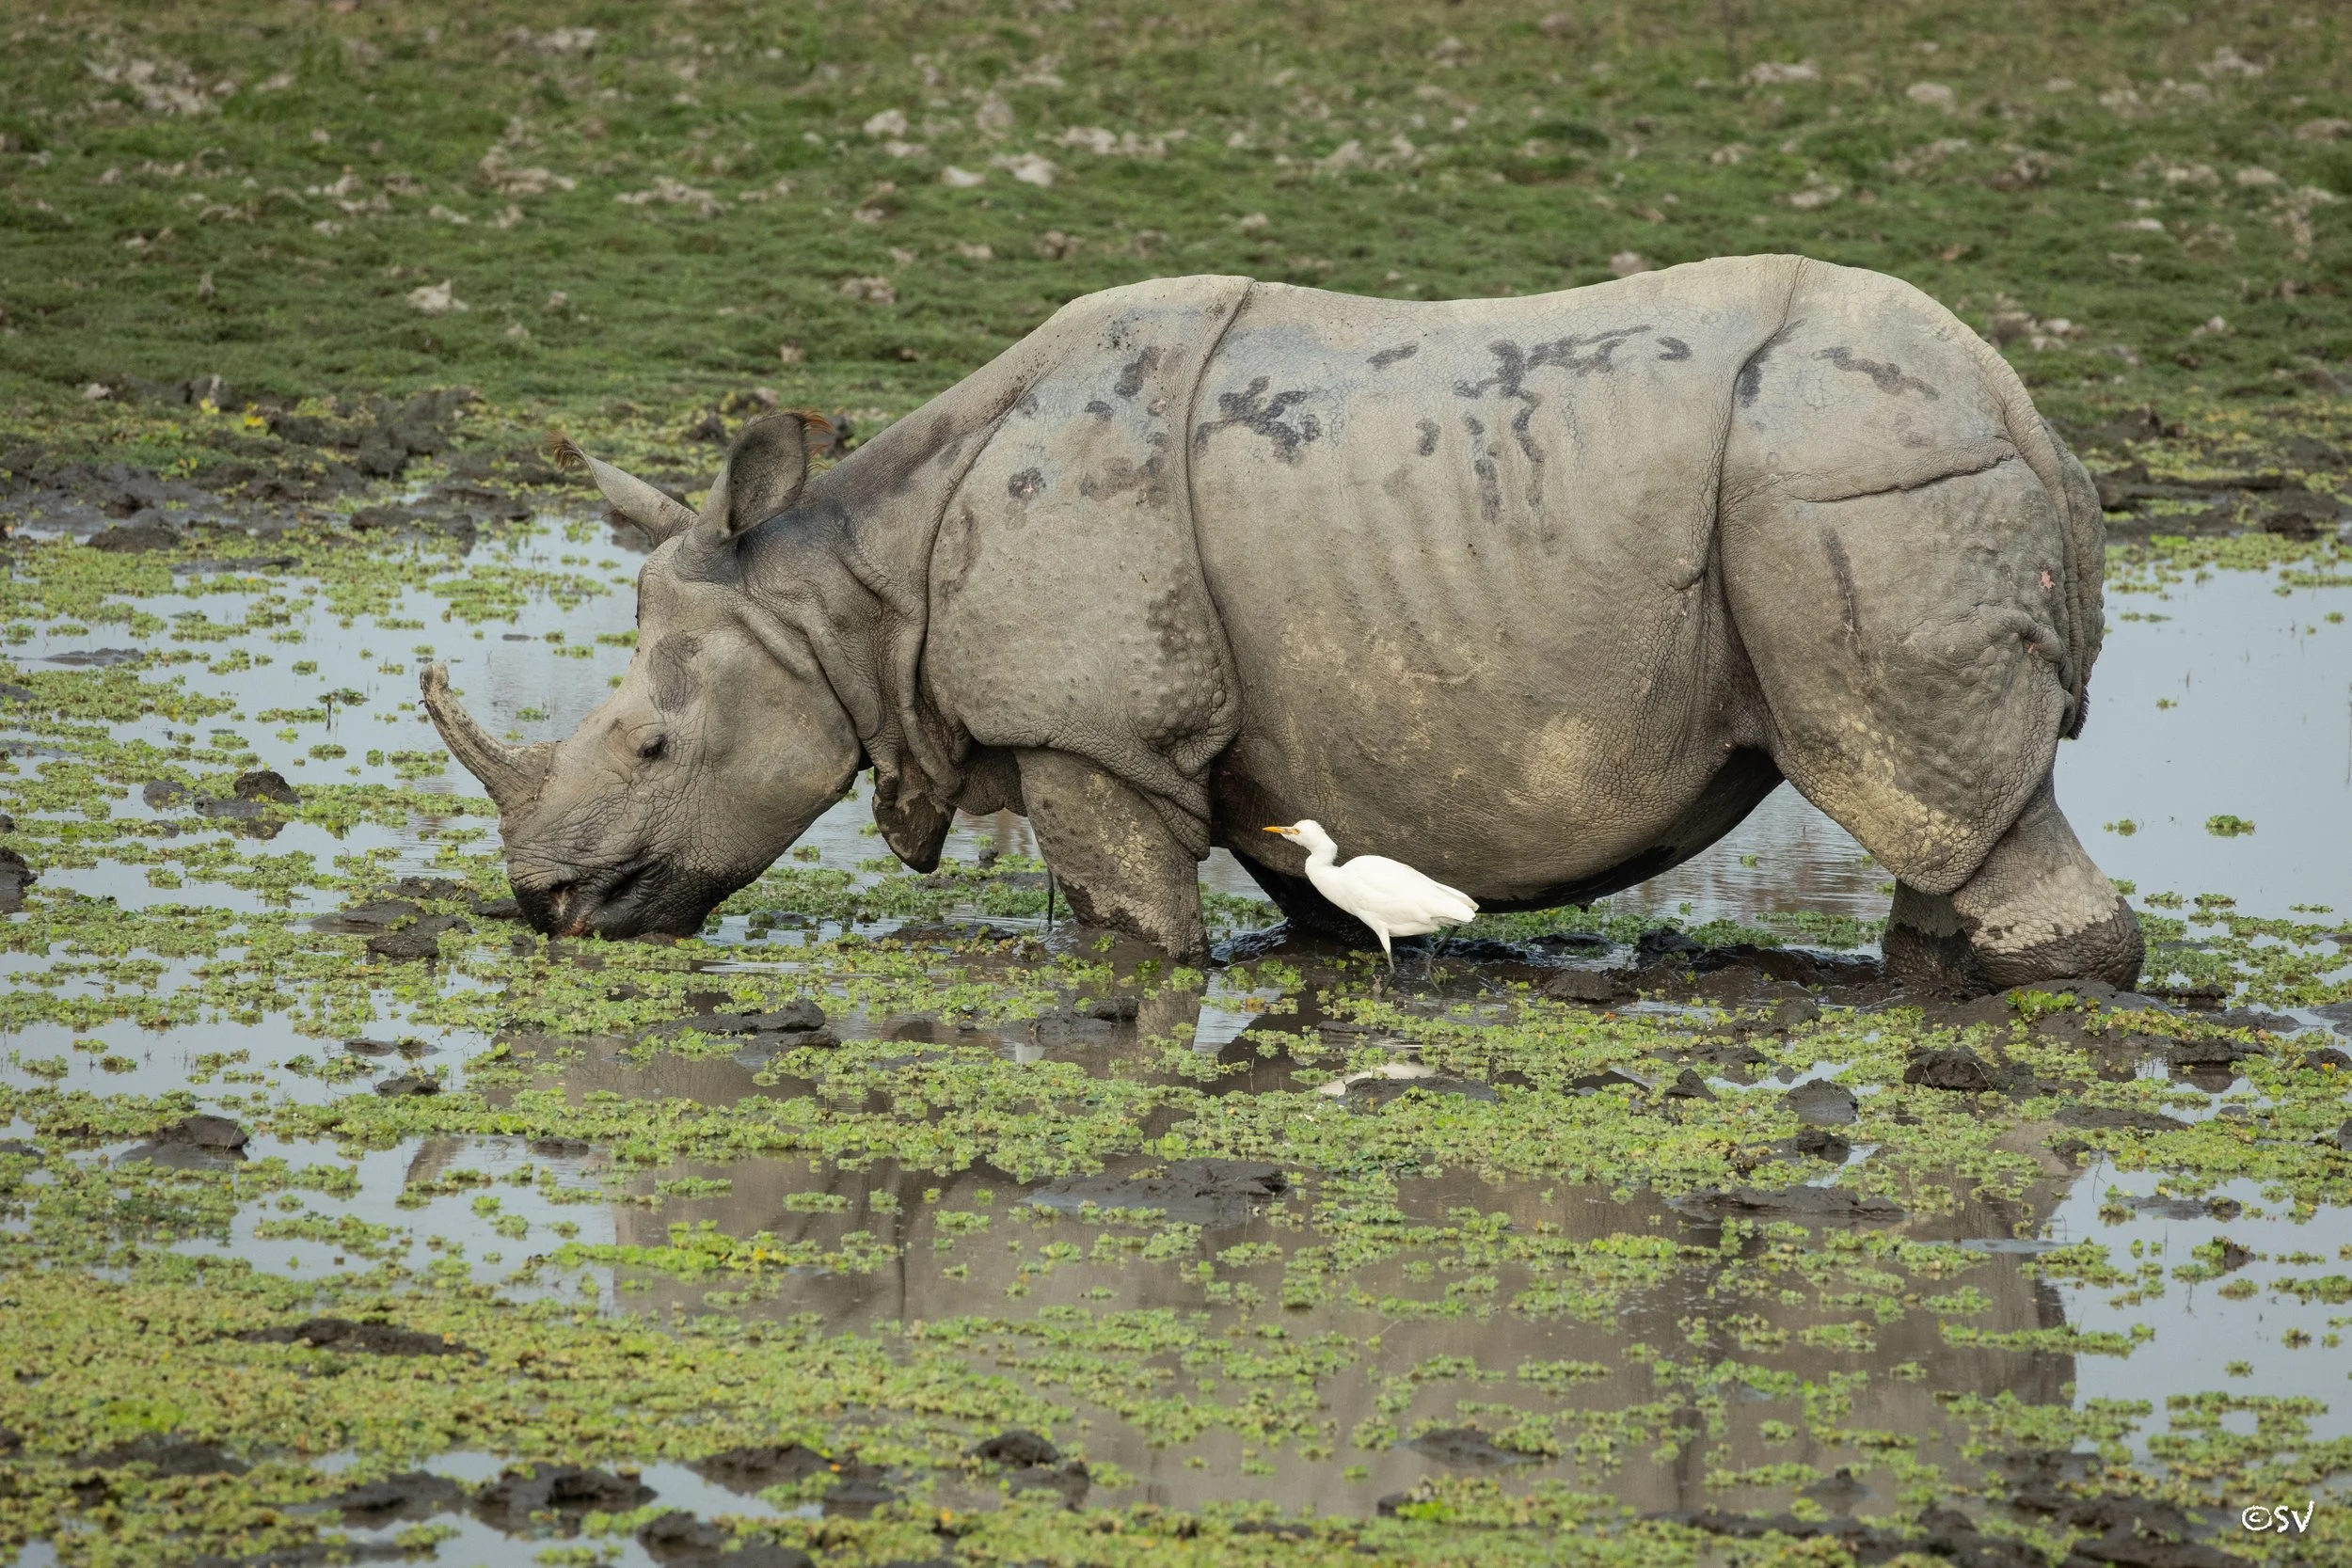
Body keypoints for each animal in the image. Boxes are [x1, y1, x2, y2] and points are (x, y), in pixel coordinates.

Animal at [421, 254, 2141, 993]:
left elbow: (1125, 933)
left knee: (1914, 777)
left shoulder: (1088, 729)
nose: (546, 903)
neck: (849, 578)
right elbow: (1305, 890)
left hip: (1852, 482)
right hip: (1882, 472)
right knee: (1953, 811)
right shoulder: (1266, 730)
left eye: (656, 743)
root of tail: (2037, 420)